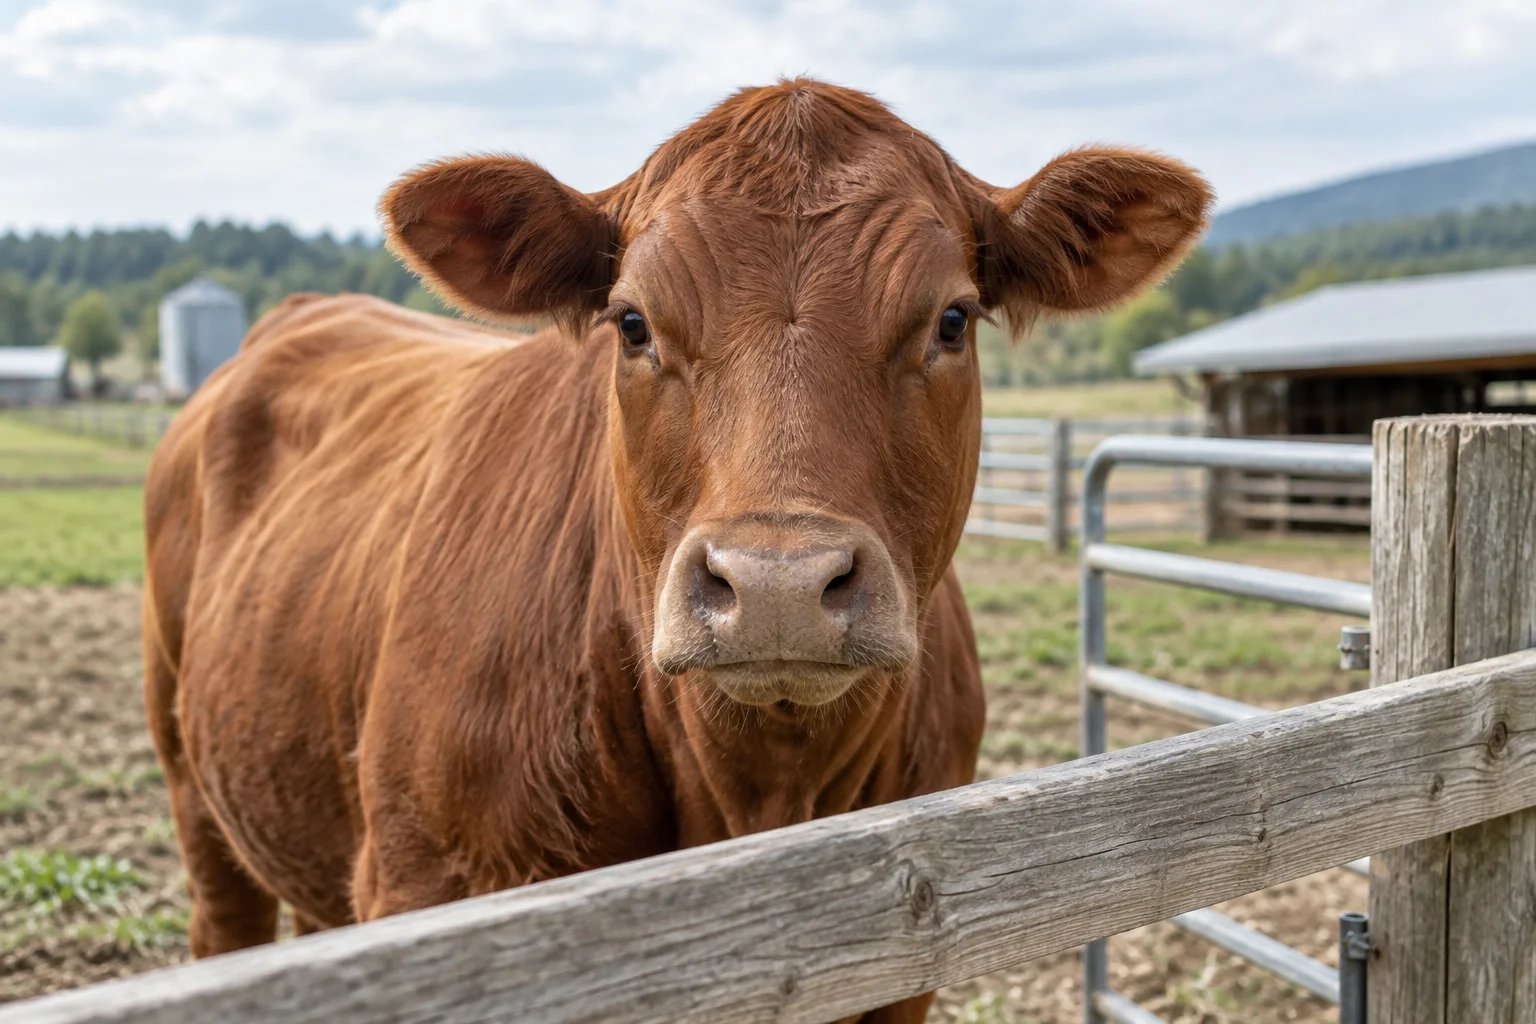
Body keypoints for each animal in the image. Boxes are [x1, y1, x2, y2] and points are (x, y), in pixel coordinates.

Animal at [143, 78, 1210, 1022]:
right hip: (192, 779)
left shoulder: (912, 960)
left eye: (950, 321)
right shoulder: (425, 885)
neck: (761, 795)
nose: (779, 585)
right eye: (632, 323)